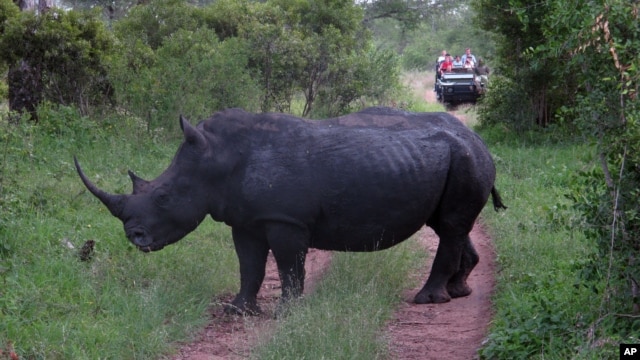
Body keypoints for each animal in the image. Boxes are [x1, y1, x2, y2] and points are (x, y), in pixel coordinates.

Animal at [74, 107, 504, 316]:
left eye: (164, 197)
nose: (135, 237)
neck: (216, 159)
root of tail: (479, 139)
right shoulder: (246, 219)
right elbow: (250, 265)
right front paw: (238, 311)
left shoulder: (284, 219)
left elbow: (287, 265)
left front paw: (286, 312)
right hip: (455, 159)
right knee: (450, 225)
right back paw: (457, 291)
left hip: (465, 160)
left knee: (450, 226)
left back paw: (427, 300)